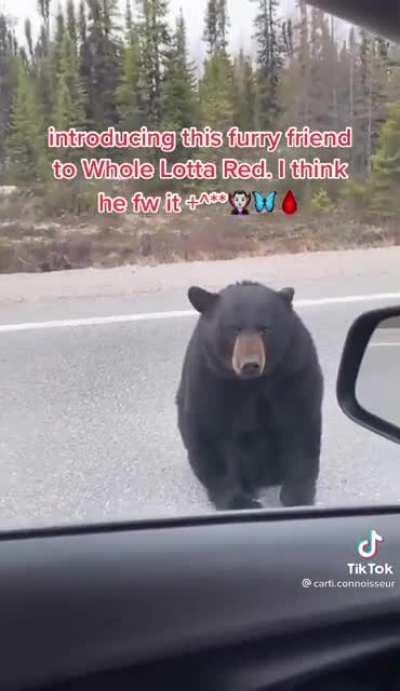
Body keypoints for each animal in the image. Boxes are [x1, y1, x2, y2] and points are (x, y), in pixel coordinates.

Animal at [176, 281, 323, 511]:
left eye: (265, 329)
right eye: (234, 329)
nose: (250, 364)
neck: (252, 383)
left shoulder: (294, 367)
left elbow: (299, 424)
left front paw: (297, 496)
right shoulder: (207, 374)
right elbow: (210, 431)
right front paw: (238, 501)